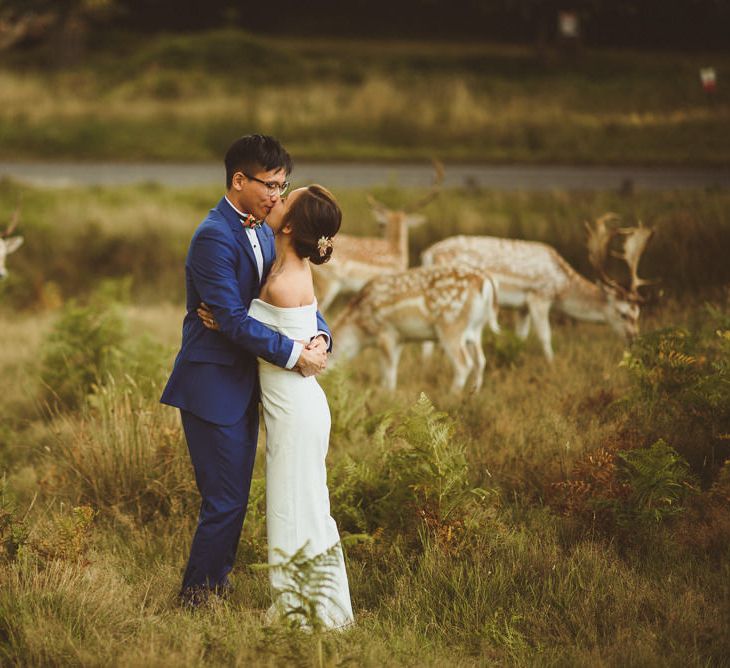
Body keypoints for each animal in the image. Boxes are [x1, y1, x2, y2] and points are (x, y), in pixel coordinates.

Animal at [332, 264, 498, 394]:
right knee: (480, 361)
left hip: (451, 325)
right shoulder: (400, 338)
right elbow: (389, 366)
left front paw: (388, 395)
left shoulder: (386, 331)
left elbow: (389, 368)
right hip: (475, 330)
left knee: (463, 364)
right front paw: (384, 391)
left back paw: (452, 397)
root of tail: (486, 283)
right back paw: (473, 395)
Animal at [420, 214, 656, 360]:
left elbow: (521, 336)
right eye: (623, 313)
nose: (634, 340)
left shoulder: (522, 307)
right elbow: (545, 335)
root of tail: (427, 254)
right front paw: (552, 363)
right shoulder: (539, 296)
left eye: (638, 313)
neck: (562, 286)